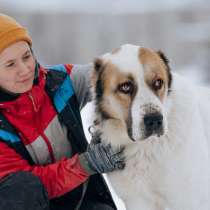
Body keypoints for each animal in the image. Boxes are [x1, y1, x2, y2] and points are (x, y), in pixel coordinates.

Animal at [90, 43, 210, 209]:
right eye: (125, 87)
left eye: (158, 82)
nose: (154, 120)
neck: (145, 147)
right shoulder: (138, 201)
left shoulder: (190, 200)